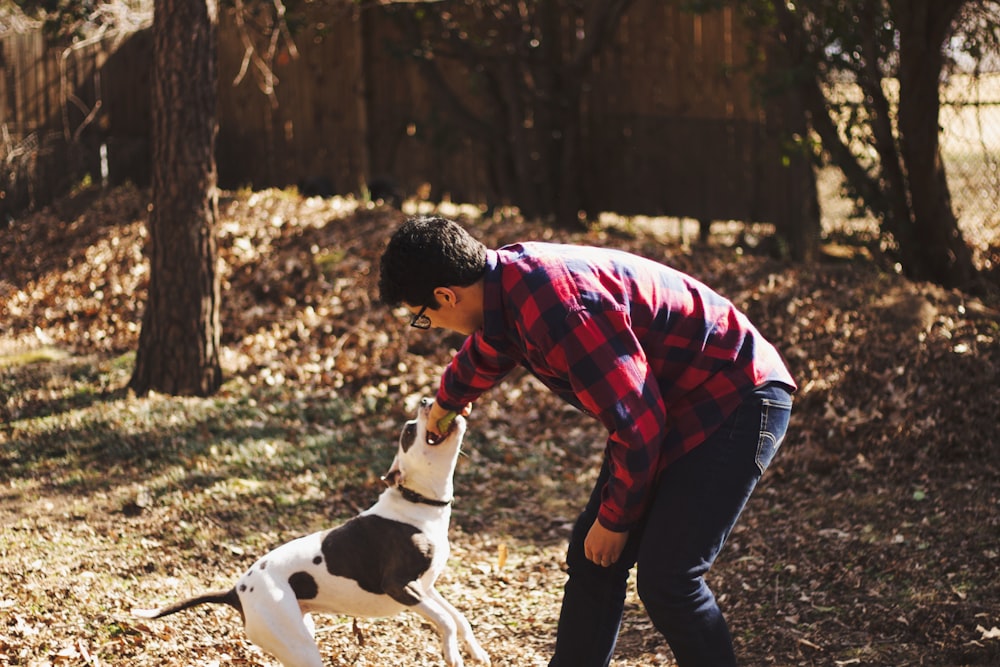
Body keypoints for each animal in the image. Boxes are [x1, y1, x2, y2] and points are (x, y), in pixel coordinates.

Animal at [131, 400, 490, 664]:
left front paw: (476, 651)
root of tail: (236, 590)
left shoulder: (426, 587)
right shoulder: (400, 585)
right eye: (409, 430)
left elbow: (459, 618)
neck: (416, 502)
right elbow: (446, 621)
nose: (427, 400)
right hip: (300, 646)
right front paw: (452, 654)